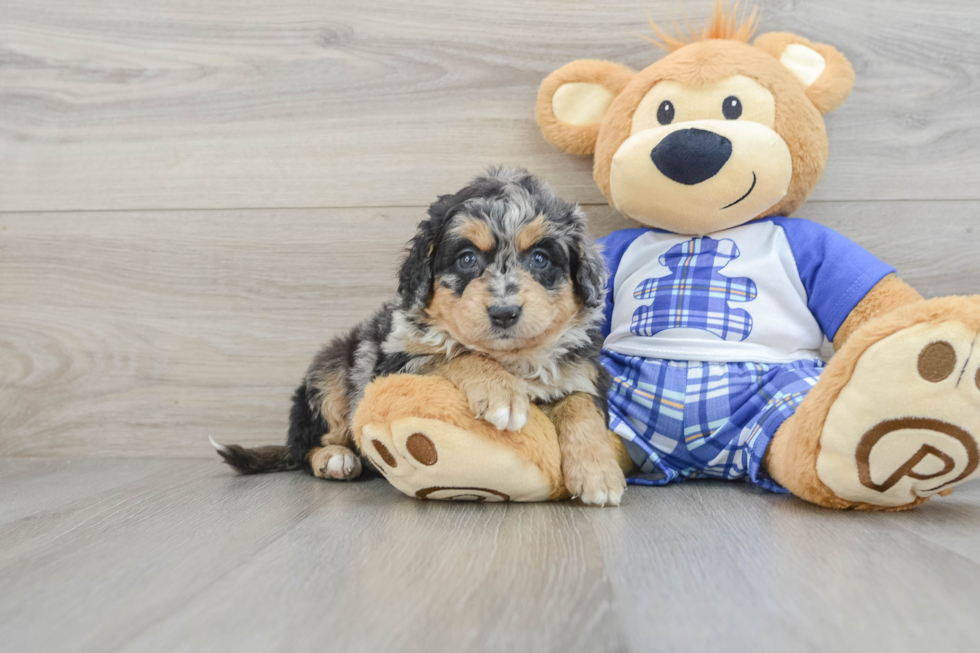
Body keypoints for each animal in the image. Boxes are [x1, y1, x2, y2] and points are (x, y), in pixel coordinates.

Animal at [214, 167, 628, 504]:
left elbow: (580, 404)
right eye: (466, 258)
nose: (504, 313)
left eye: (541, 258)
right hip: (331, 374)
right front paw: (501, 393)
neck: (511, 358)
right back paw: (335, 458)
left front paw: (599, 473)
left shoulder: (587, 373)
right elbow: (453, 353)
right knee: (307, 447)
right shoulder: (396, 360)